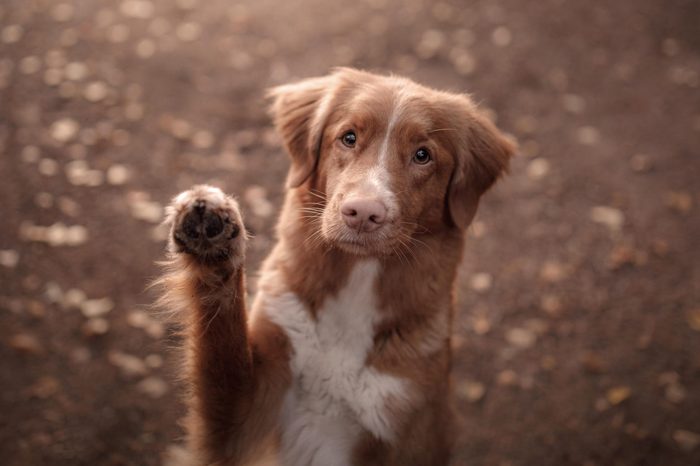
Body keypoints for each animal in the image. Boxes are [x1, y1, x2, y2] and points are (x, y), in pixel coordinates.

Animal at [161, 66, 516, 466]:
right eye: (348, 137)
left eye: (423, 155)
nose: (363, 212)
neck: (356, 287)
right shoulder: (242, 416)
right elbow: (221, 340)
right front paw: (213, 240)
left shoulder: (404, 428)